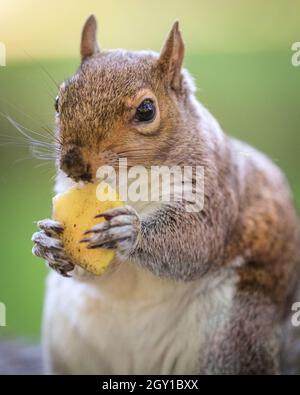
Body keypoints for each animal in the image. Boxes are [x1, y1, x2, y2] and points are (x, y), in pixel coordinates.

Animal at [31, 14, 300, 374]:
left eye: (146, 110)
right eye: (58, 102)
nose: (72, 164)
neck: (126, 180)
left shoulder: (214, 189)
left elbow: (197, 241)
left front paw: (131, 231)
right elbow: (96, 273)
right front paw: (46, 242)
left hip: (232, 336)